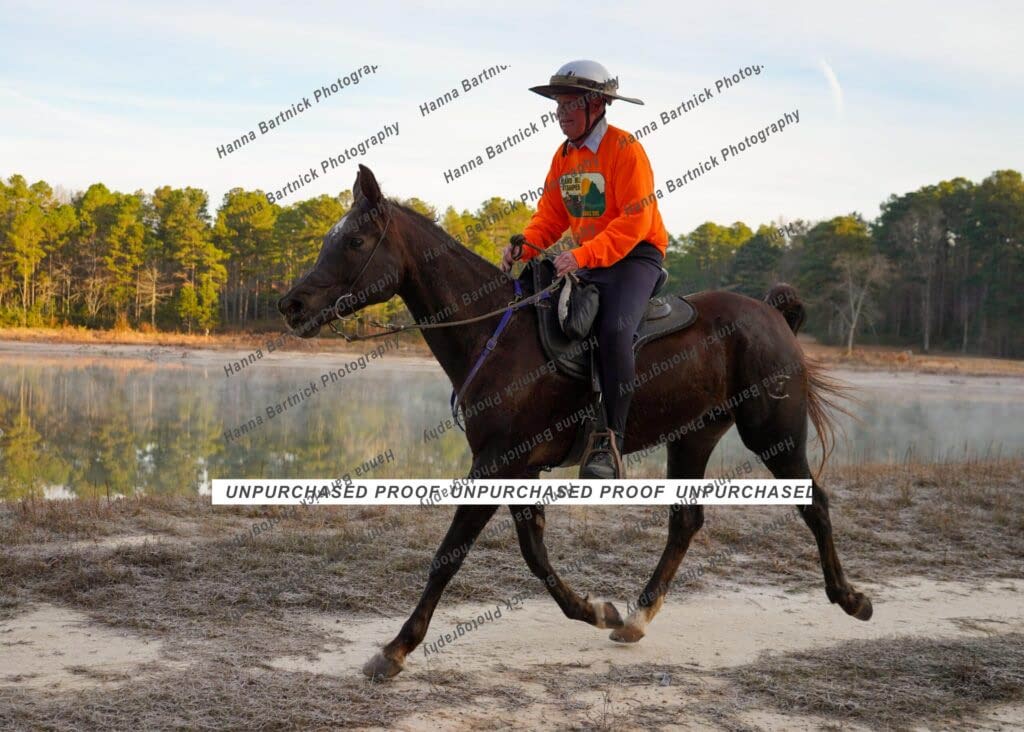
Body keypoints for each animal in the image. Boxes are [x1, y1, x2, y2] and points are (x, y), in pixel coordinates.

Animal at [277, 164, 873, 680]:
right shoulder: (516, 468)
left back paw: (851, 598)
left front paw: (397, 648)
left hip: (774, 435)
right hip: (692, 438)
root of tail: (774, 315)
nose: (292, 305)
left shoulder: (495, 463)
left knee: (814, 503)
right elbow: (534, 552)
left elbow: (451, 554)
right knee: (685, 521)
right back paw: (636, 618)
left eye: (354, 243)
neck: (495, 333)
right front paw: (596, 610)